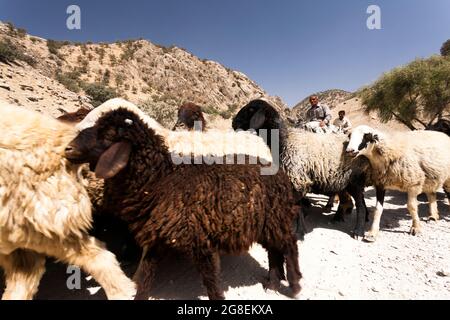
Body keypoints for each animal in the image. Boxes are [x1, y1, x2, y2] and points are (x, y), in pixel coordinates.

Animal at [65, 107, 304, 300]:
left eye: (107, 135)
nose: (68, 149)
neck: (161, 179)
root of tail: (279, 171)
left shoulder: (201, 240)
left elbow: (211, 283)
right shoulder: (157, 238)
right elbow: (145, 278)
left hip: (278, 218)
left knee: (289, 246)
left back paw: (294, 286)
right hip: (265, 223)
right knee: (274, 251)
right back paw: (273, 283)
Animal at [230, 99, 370, 238]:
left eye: (251, 109)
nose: (234, 123)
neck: (284, 140)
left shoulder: (298, 179)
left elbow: (299, 207)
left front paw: (300, 232)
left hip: (355, 181)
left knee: (361, 205)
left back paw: (358, 231)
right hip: (343, 181)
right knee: (351, 200)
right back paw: (340, 217)